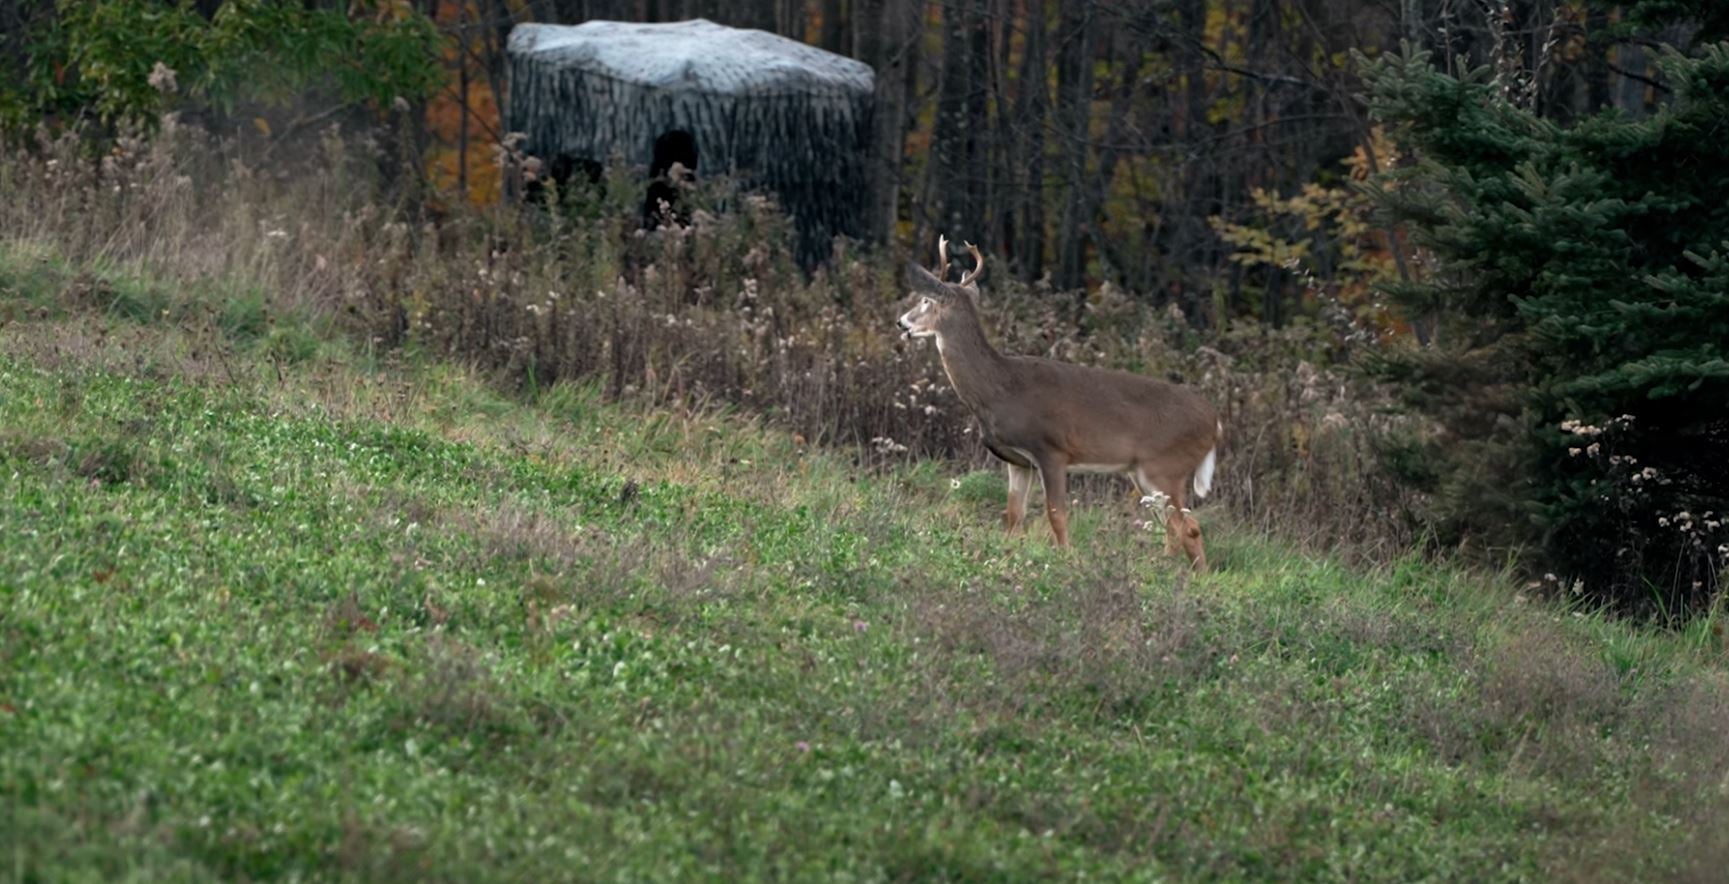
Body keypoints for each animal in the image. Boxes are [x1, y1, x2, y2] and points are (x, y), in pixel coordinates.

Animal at [899, 235, 1224, 570]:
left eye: (926, 301)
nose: (901, 323)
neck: (999, 388)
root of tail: (1216, 423)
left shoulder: (1051, 450)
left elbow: (1056, 514)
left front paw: (1066, 561)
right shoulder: (1019, 461)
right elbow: (1014, 515)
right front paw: (1007, 555)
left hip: (1166, 467)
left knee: (1187, 526)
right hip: (1143, 472)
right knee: (1176, 527)